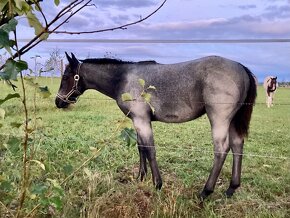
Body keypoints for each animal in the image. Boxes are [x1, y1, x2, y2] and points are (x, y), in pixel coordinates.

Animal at [55, 52, 256, 199]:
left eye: (66, 77)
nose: (58, 102)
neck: (123, 78)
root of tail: (241, 67)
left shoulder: (141, 120)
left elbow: (150, 150)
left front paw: (157, 184)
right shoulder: (138, 121)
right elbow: (141, 147)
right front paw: (140, 177)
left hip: (219, 119)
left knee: (221, 150)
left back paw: (205, 192)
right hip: (233, 121)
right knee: (237, 145)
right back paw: (231, 189)